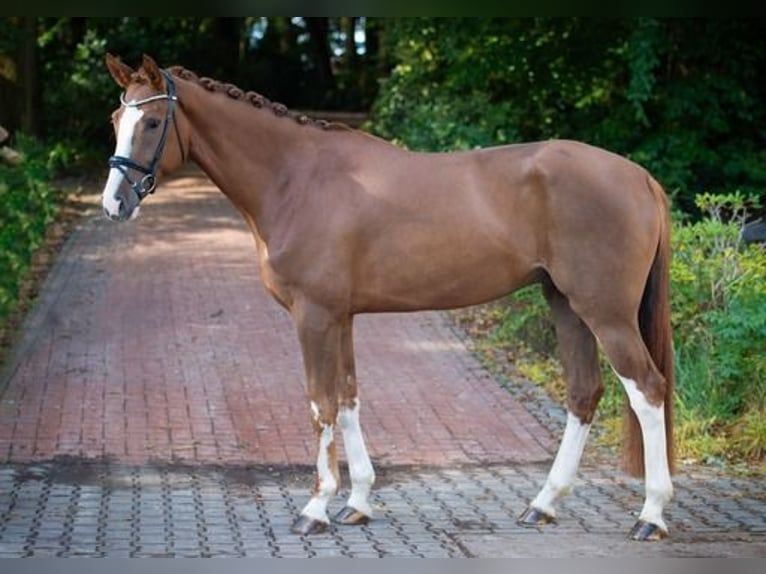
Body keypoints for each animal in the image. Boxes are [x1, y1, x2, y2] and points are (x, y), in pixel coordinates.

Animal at [102, 56, 680, 544]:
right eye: (115, 117)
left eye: (152, 123)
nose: (114, 203)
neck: (297, 178)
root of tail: (640, 178)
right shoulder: (341, 317)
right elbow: (349, 400)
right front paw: (357, 502)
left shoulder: (314, 317)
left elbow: (321, 404)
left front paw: (315, 509)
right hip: (565, 304)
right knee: (585, 392)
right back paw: (543, 504)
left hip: (605, 313)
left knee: (647, 391)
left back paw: (650, 516)